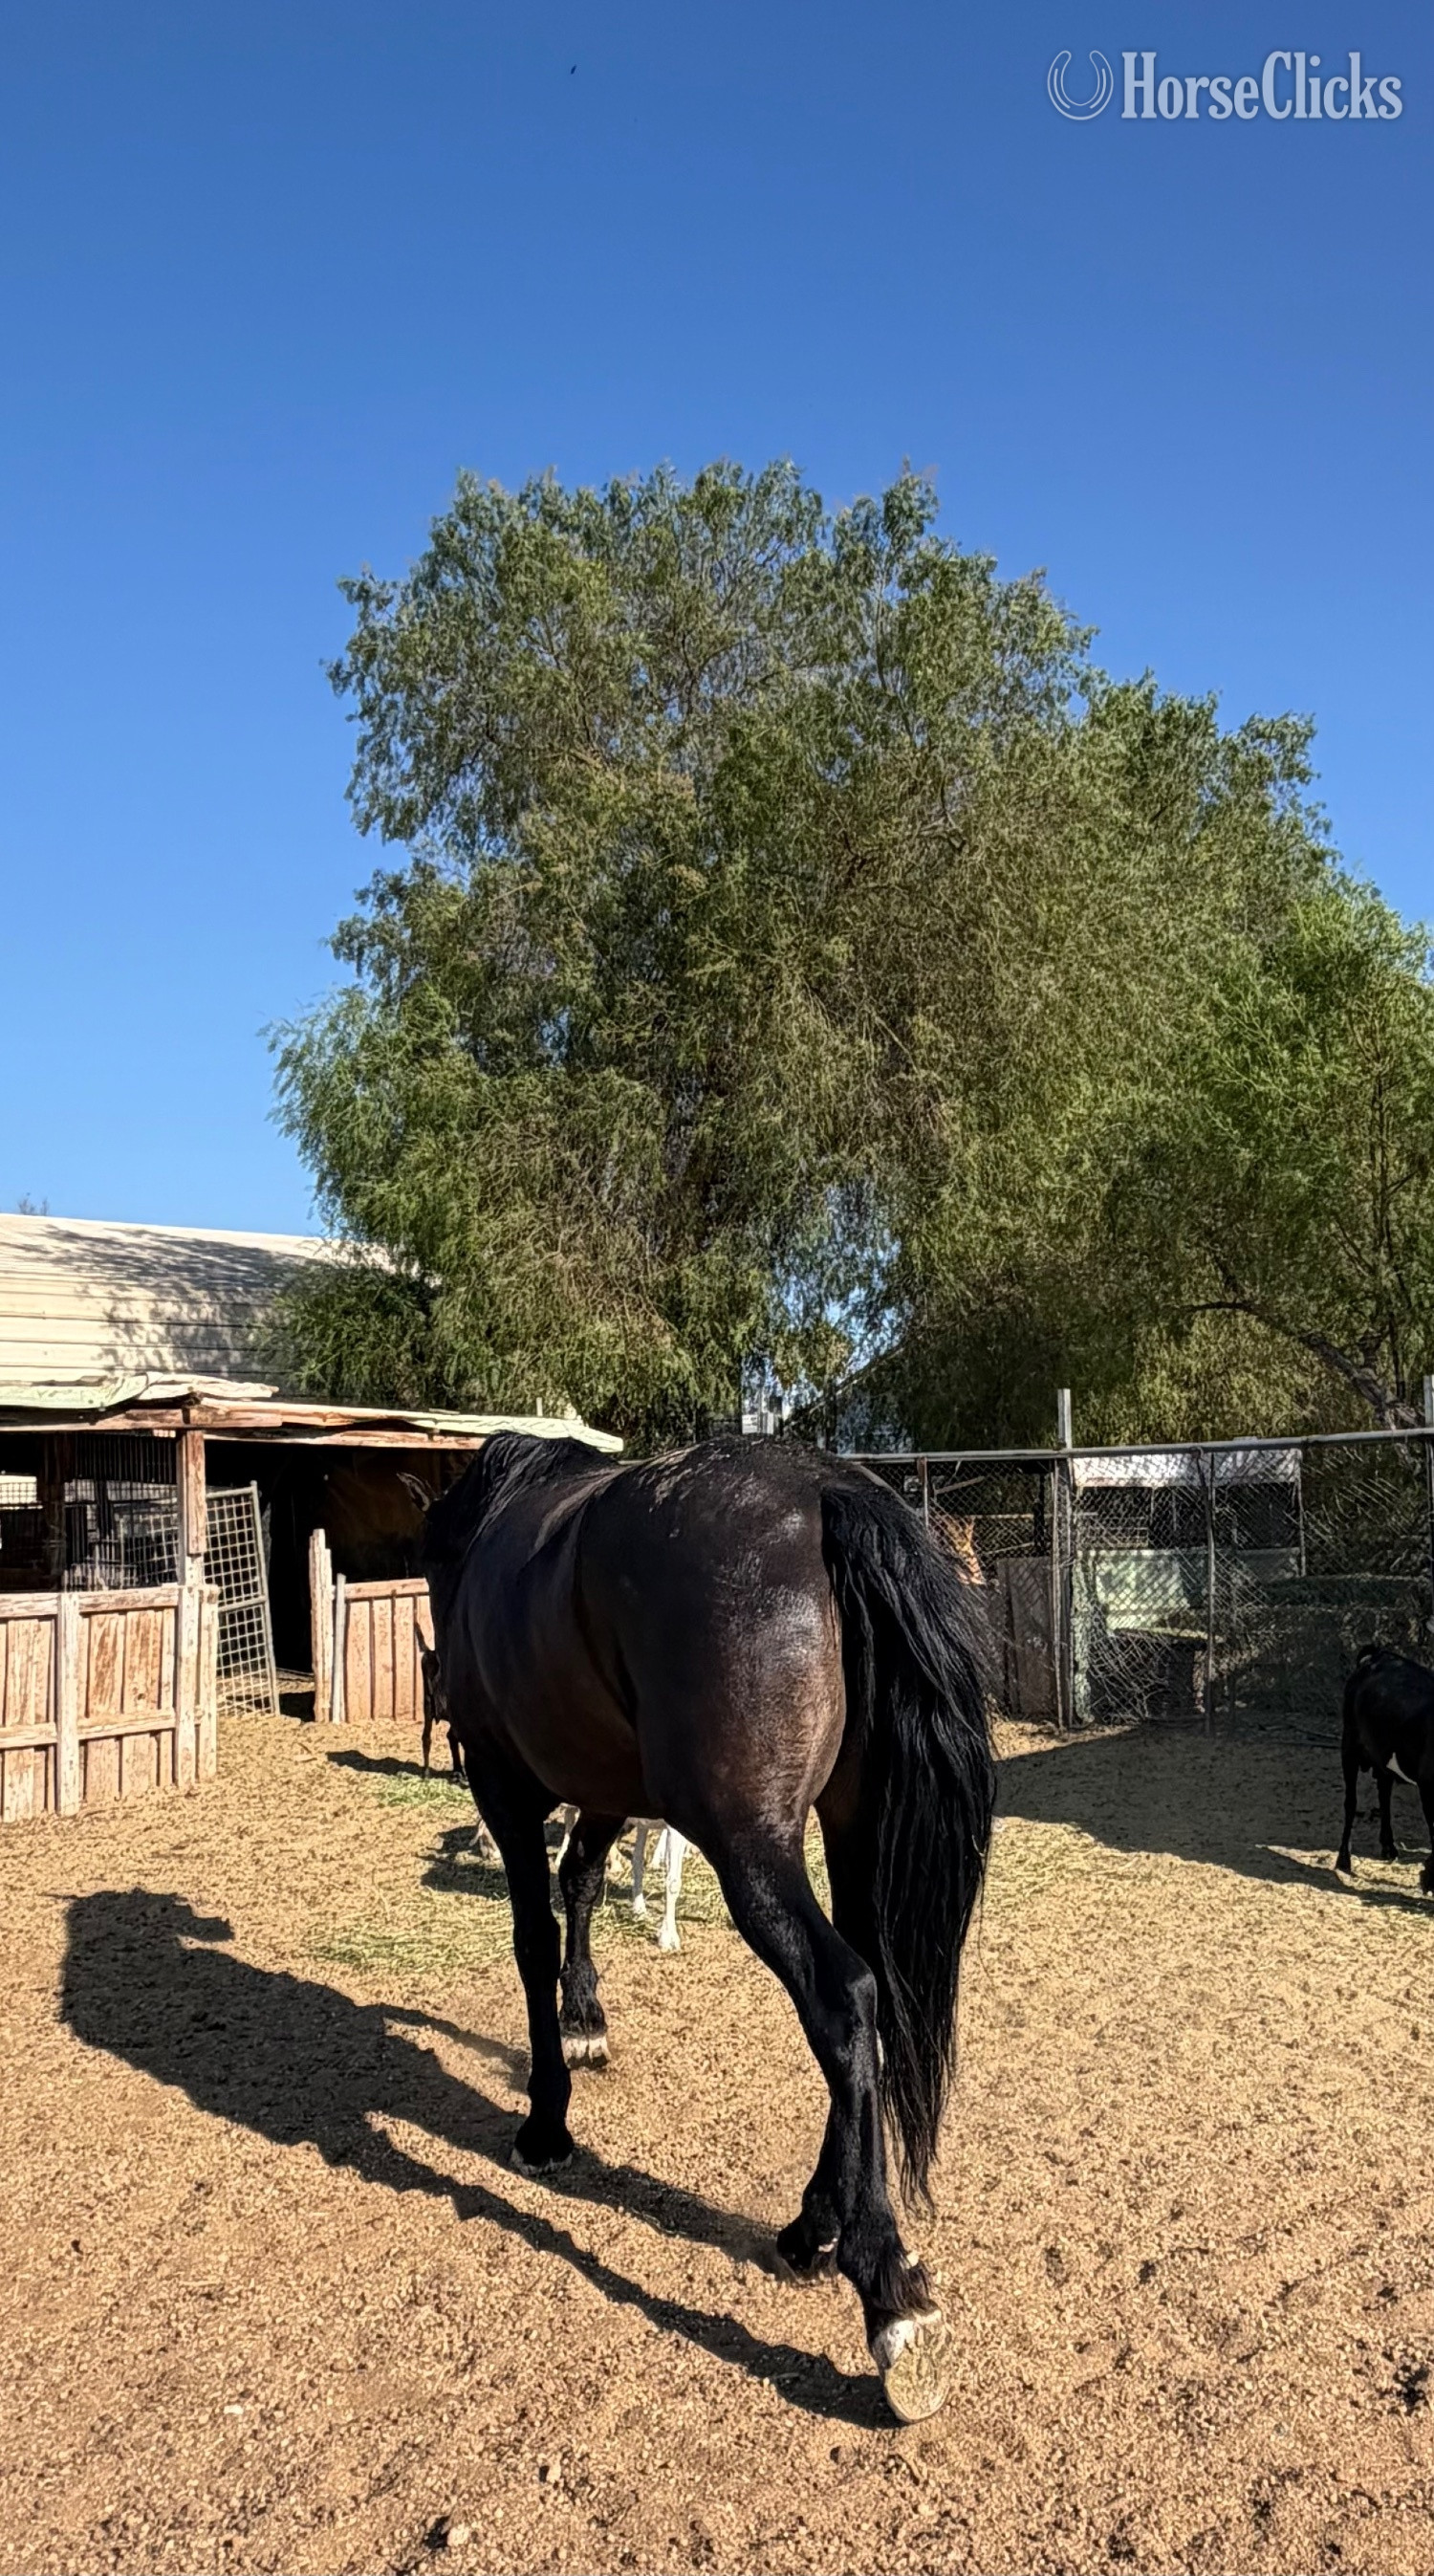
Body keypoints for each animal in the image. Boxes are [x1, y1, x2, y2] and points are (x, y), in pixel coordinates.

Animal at [419, 1431, 995, 2424]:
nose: (439, 1716)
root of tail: (823, 1490)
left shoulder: (506, 1781)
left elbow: (533, 1936)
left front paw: (545, 2121)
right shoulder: (607, 1786)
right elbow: (580, 1883)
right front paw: (585, 2023)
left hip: (748, 1850)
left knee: (843, 1998)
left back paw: (888, 2290)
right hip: (849, 1832)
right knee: (872, 1998)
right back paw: (813, 2226)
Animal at [1337, 1643, 1434, 1886]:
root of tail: (1378, 1654)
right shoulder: (1428, 1787)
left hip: (1381, 1757)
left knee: (1384, 1793)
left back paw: (1388, 1847)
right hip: (1350, 1746)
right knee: (1351, 1802)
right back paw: (1343, 1859)